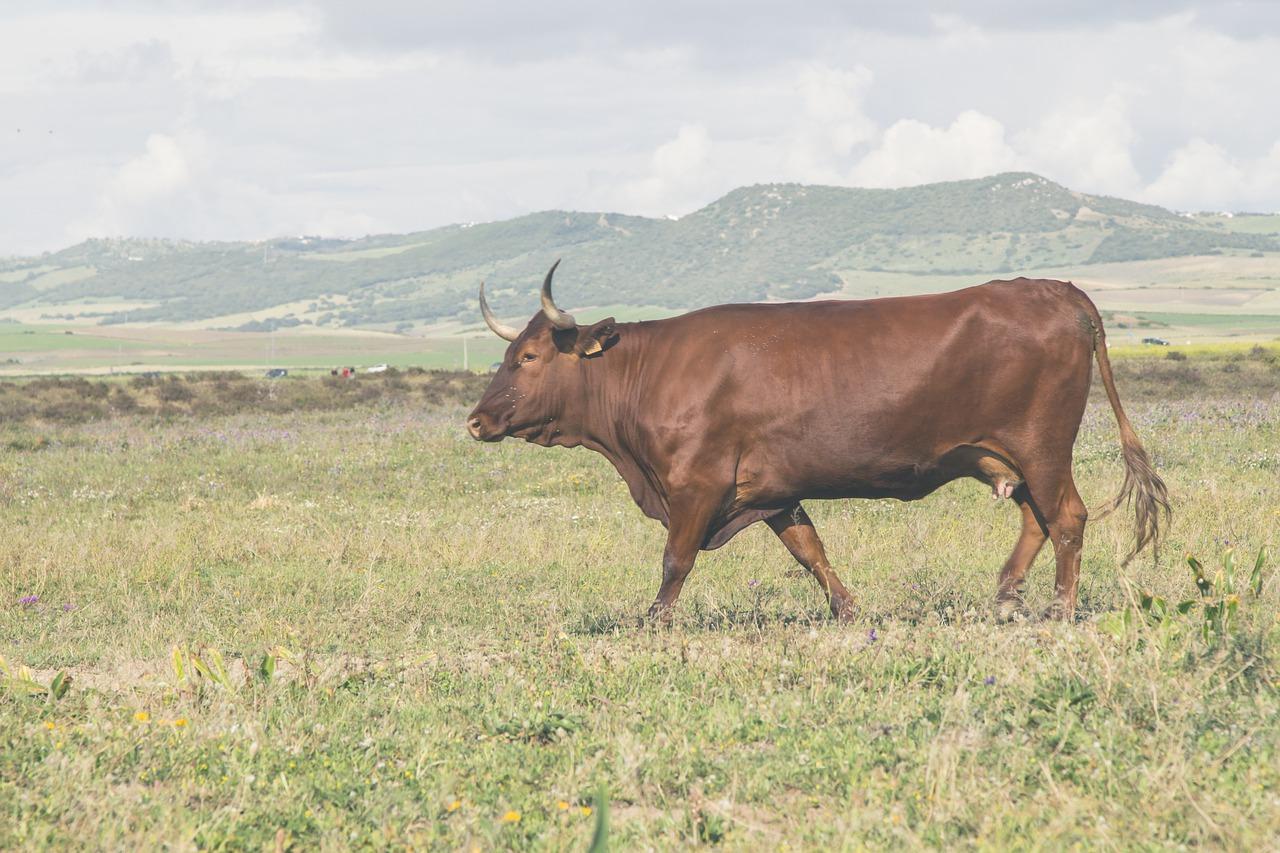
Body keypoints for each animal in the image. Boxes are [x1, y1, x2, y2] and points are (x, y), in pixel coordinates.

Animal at [468, 258, 1172, 617]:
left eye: (528, 357)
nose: (475, 420)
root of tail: (1059, 290)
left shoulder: (696, 483)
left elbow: (676, 560)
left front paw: (653, 626)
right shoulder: (773, 491)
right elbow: (810, 552)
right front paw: (849, 611)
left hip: (1043, 447)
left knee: (1068, 519)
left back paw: (1060, 611)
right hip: (1007, 457)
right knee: (1036, 521)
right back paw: (1002, 597)